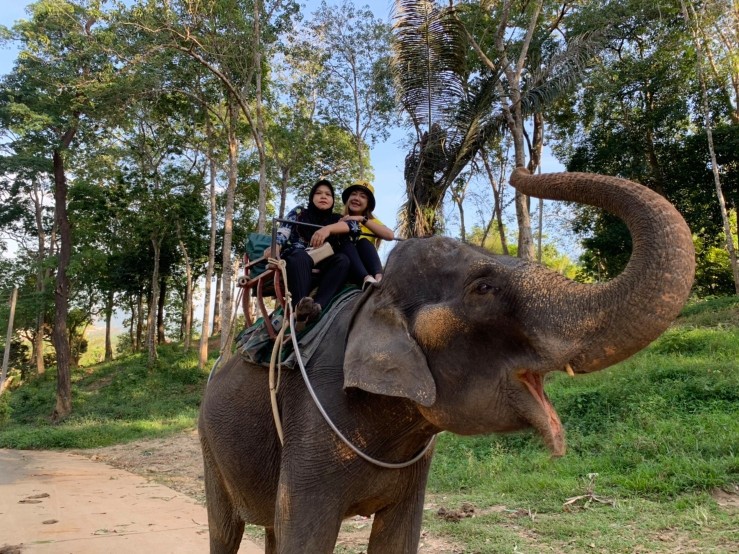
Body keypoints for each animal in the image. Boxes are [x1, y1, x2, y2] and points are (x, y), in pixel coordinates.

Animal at [198, 168, 695, 553]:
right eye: (484, 289)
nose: (518, 172)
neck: (373, 301)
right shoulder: (314, 417)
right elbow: (304, 536)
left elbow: (398, 540)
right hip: (209, 444)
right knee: (225, 531)